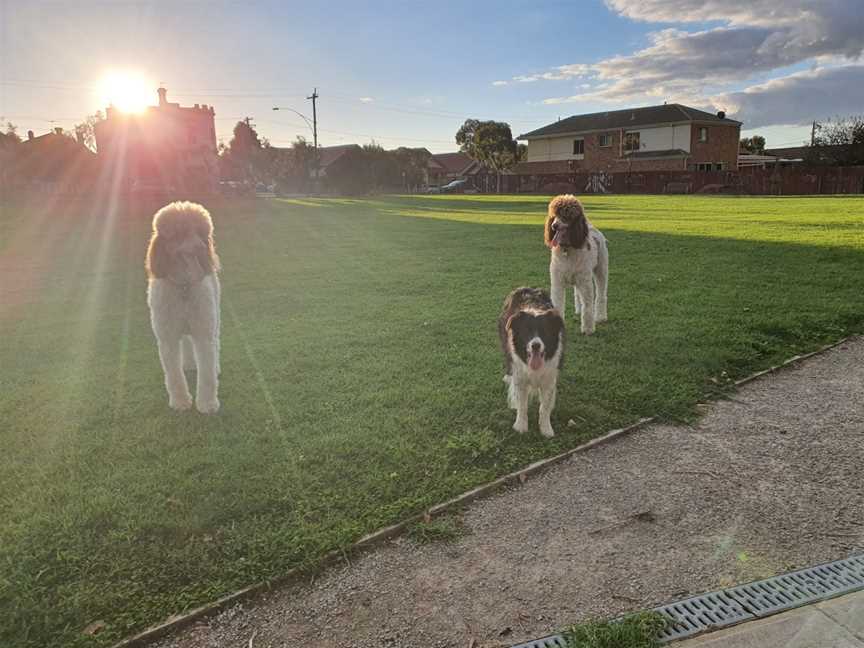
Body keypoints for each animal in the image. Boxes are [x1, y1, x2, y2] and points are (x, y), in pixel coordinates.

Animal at [146, 202, 221, 412]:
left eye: (201, 232)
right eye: (181, 232)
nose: (203, 247)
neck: (184, 286)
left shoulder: (204, 332)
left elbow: (207, 373)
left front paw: (207, 404)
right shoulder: (167, 338)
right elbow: (173, 374)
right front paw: (180, 401)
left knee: (216, 341)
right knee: (187, 342)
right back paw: (188, 364)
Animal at [496, 288, 564, 436]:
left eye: (545, 331)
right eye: (526, 331)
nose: (536, 346)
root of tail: (525, 287)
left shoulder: (549, 377)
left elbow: (544, 406)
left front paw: (546, 429)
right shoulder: (520, 376)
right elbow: (522, 403)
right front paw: (520, 426)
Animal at [548, 192, 608, 334]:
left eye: (566, 215)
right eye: (554, 215)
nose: (554, 226)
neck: (567, 248)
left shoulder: (585, 281)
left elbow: (588, 305)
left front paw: (588, 329)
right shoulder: (557, 281)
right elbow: (558, 303)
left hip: (601, 270)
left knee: (601, 295)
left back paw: (600, 317)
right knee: (578, 294)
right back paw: (578, 311)